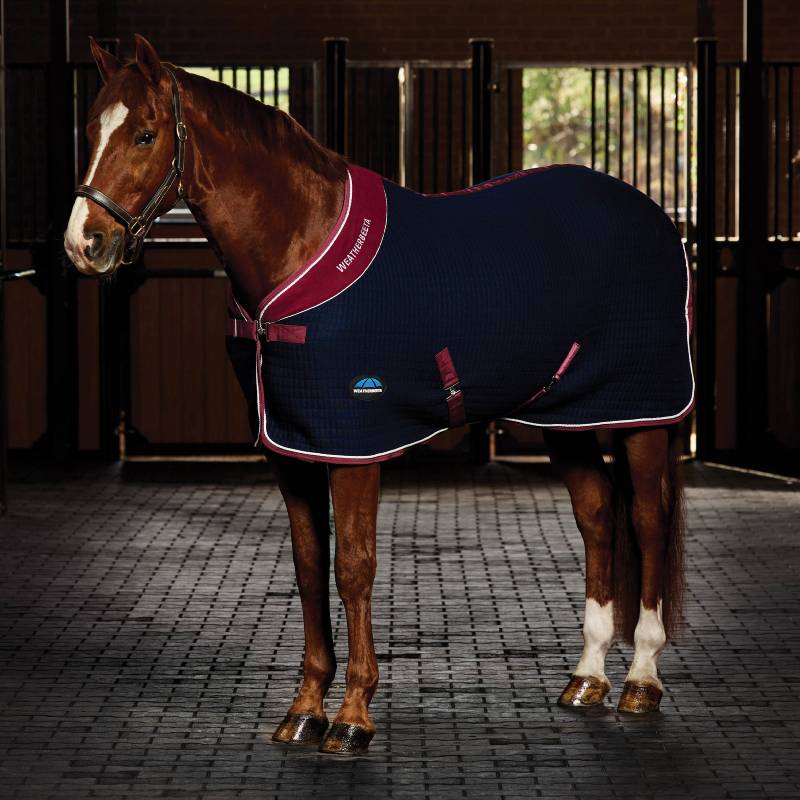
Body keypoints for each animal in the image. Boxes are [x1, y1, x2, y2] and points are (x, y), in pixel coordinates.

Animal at [64, 35, 691, 756]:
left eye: (144, 134)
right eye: (91, 130)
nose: (84, 243)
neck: (298, 246)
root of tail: (652, 217)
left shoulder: (354, 447)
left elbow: (354, 568)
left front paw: (353, 715)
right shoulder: (292, 449)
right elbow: (310, 568)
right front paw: (304, 709)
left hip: (643, 412)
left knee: (646, 521)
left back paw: (642, 679)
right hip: (564, 418)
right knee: (596, 516)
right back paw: (587, 676)